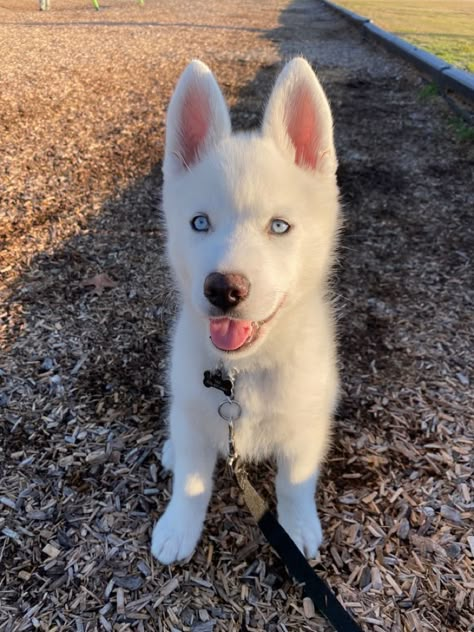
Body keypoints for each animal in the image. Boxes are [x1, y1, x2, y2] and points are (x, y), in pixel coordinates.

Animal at [152, 58, 340, 564]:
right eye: (199, 222)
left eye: (280, 226)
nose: (223, 289)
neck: (243, 373)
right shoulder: (196, 416)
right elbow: (191, 480)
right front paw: (178, 526)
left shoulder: (304, 428)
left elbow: (294, 483)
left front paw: (298, 527)